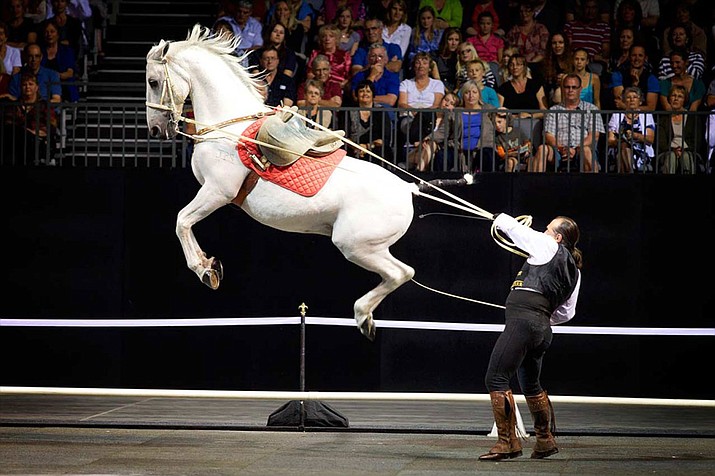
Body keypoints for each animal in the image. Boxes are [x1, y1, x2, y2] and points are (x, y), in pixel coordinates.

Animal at [145, 25, 434, 338]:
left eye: (152, 81)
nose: (155, 130)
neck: (230, 130)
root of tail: (408, 188)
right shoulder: (213, 193)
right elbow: (184, 222)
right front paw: (210, 265)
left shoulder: (216, 192)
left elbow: (182, 221)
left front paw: (205, 269)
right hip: (371, 247)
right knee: (400, 273)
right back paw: (367, 318)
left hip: (356, 245)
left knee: (401, 273)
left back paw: (362, 315)